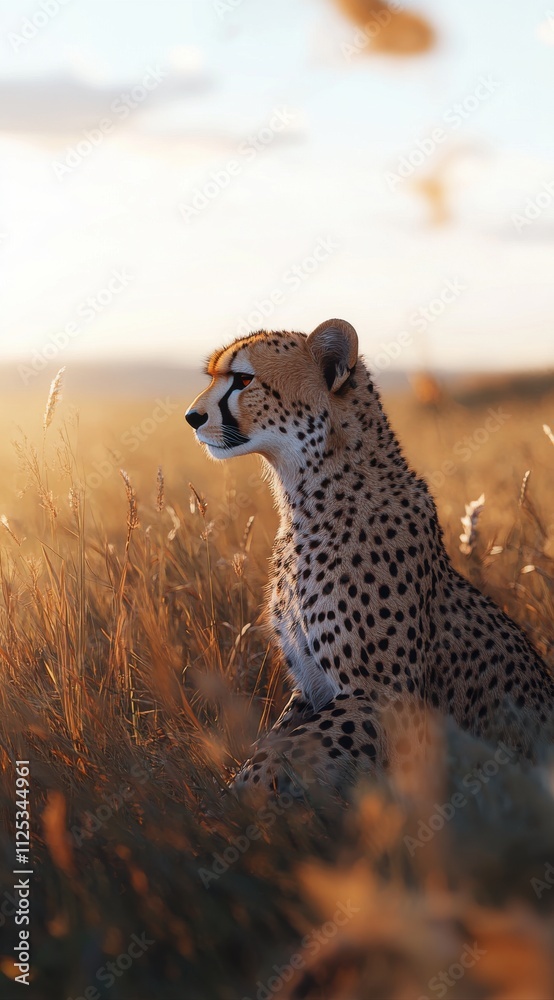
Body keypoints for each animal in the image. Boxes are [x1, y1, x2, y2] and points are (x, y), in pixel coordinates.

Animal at [185, 318, 554, 794]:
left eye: (243, 380)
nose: (191, 417)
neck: (307, 497)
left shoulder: (383, 699)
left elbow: (274, 757)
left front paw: (230, 801)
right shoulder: (310, 688)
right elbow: (273, 743)